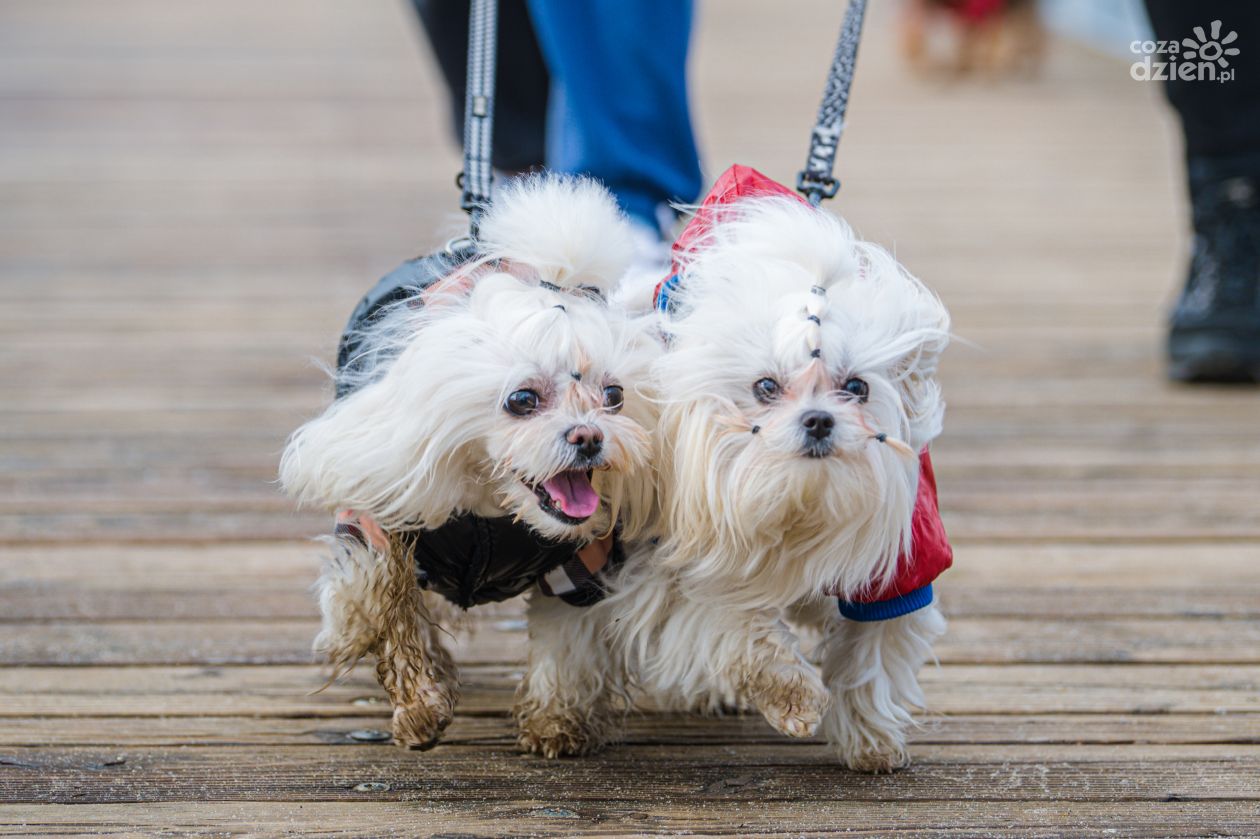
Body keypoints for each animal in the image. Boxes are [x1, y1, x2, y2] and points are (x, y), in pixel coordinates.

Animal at [279, 175, 660, 750]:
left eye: (613, 395)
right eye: (522, 399)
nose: (590, 437)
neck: (491, 513)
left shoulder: (579, 565)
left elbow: (566, 646)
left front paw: (555, 722)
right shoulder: (379, 524)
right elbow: (381, 611)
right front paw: (419, 706)